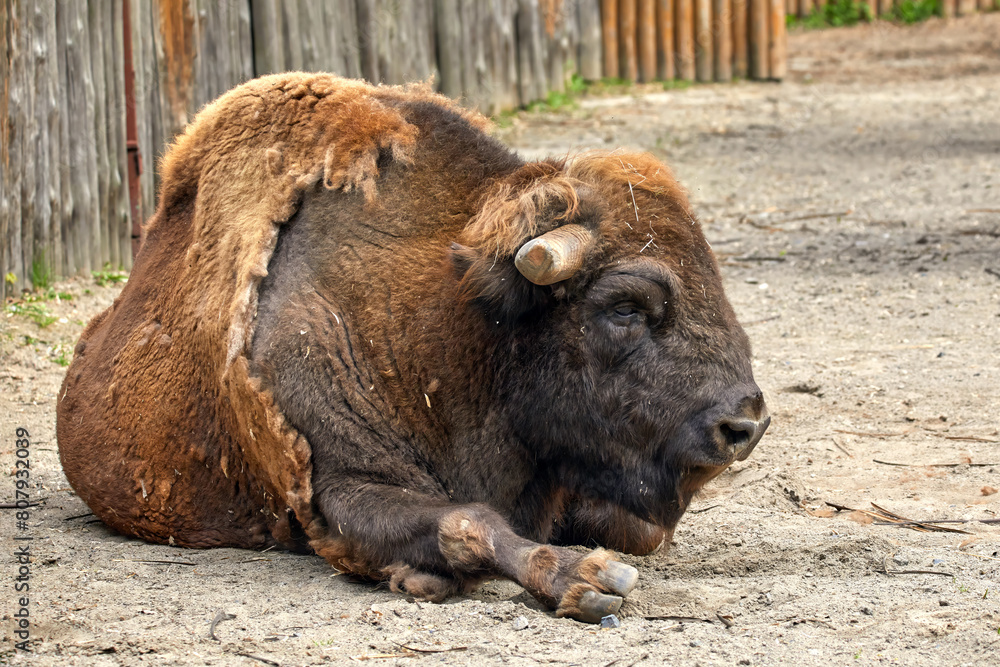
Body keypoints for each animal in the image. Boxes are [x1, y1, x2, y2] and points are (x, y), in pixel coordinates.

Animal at [57, 73, 769, 623]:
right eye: (624, 307)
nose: (745, 424)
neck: (454, 320)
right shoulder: (339, 489)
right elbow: (468, 521)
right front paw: (586, 581)